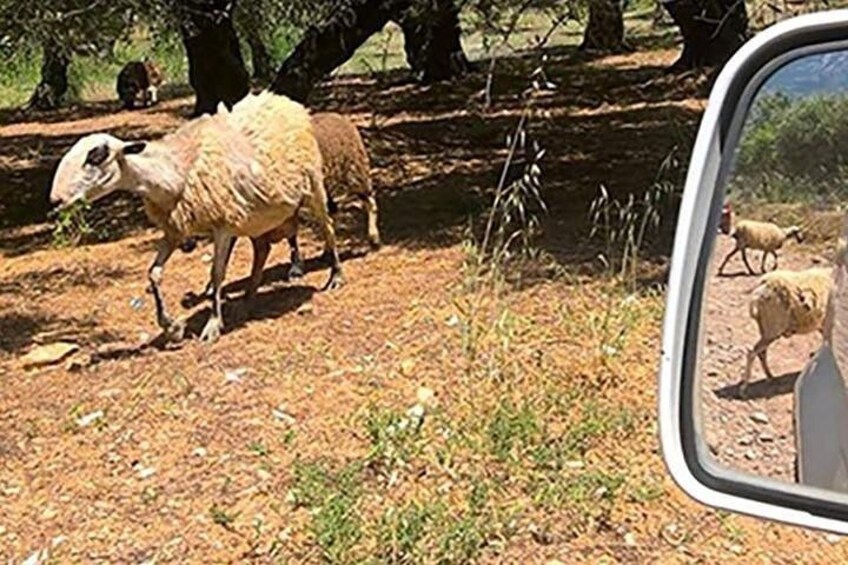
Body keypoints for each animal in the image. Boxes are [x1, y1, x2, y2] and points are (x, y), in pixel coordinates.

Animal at [49, 90, 343, 343]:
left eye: (96, 155)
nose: (55, 200)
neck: (175, 173)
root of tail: (283, 100)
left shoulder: (222, 227)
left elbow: (217, 273)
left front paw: (211, 325)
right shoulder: (174, 231)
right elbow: (154, 274)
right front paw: (171, 327)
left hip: (312, 187)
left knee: (327, 228)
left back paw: (335, 276)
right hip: (255, 217)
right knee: (262, 248)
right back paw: (248, 298)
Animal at [740, 267, 833, 398]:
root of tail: (760, 290)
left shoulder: (823, 325)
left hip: (766, 329)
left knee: (761, 352)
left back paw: (770, 377)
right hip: (772, 328)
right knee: (752, 352)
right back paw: (744, 390)